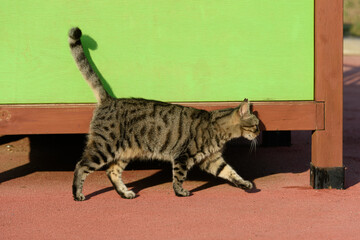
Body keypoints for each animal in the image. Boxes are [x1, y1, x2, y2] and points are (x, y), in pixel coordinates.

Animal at [68, 26, 258, 201]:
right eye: (256, 125)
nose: (259, 133)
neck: (218, 128)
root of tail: (109, 99)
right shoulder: (183, 156)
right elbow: (179, 176)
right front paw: (179, 192)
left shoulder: (212, 159)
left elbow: (230, 172)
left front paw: (244, 183)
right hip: (104, 147)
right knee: (80, 165)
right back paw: (77, 194)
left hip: (124, 153)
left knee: (111, 172)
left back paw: (125, 193)